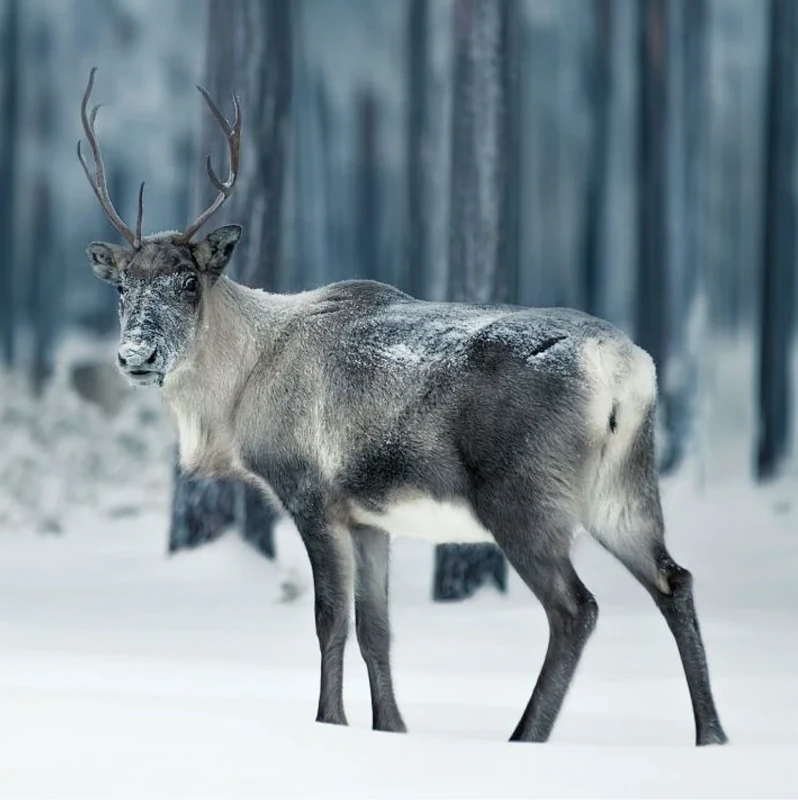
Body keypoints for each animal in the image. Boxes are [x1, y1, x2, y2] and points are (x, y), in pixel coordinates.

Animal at [78, 68, 727, 746]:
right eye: (122, 286)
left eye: (188, 281)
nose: (136, 353)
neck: (239, 393)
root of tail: (624, 369)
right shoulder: (371, 517)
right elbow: (377, 629)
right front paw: (391, 728)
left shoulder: (312, 495)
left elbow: (330, 621)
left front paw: (330, 721)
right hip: (624, 487)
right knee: (674, 579)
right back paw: (711, 734)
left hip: (525, 496)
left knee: (576, 608)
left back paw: (526, 735)